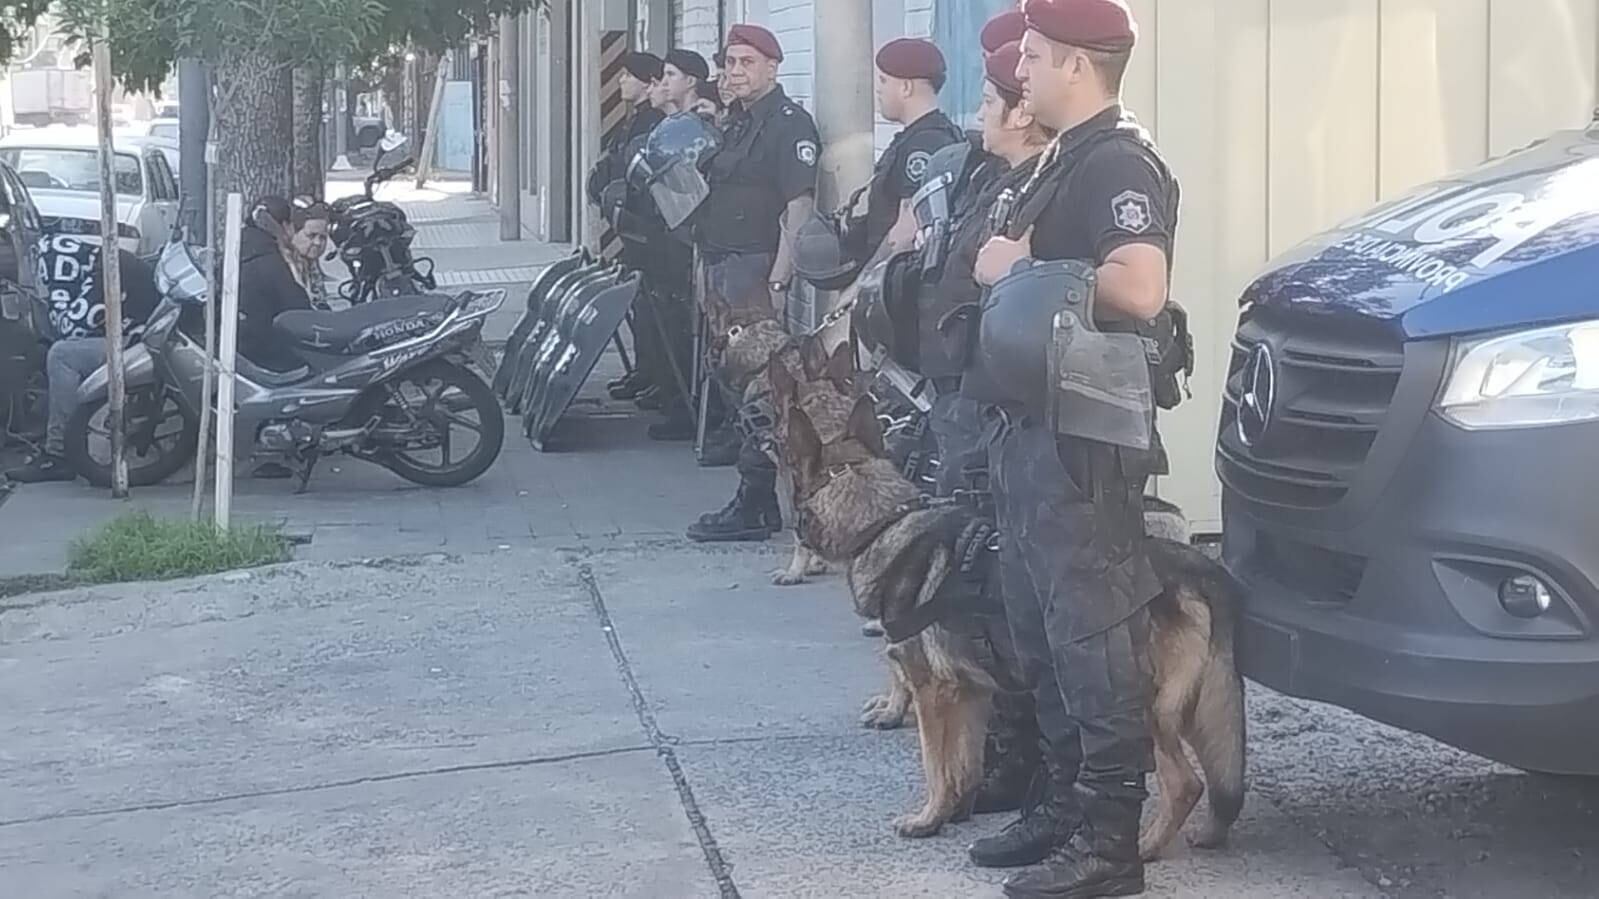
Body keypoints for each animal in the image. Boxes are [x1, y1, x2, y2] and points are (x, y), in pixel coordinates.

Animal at [789, 396, 1247, 851]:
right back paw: (1208, 832)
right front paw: (958, 809)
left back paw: (1147, 846)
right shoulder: (971, 693)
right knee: (1219, 773)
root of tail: (1198, 567)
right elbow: (964, 765)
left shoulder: (932, 692)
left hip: (1143, 706)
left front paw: (927, 818)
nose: (796, 531)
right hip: (1194, 706)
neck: (881, 524)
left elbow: (936, 764)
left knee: (1185, 783)